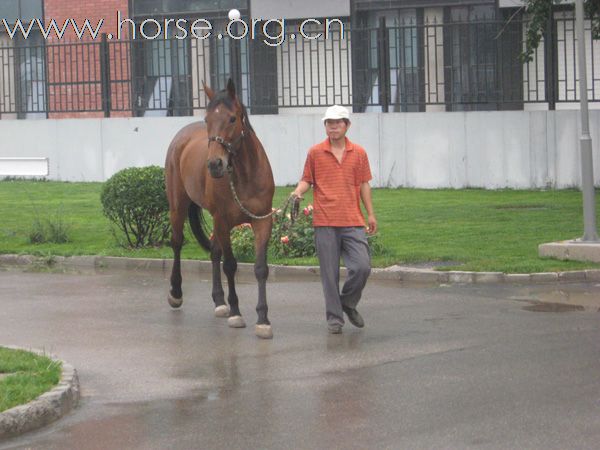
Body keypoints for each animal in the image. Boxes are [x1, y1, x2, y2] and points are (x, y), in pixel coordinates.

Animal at [165, 79, 276, 340]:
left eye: (233, 118)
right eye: (207, 119)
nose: (215, 164)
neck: (244, 176)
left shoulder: (262, 221)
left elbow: (260, 268)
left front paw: (263, 319)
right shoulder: (223, 221)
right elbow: (230, 265)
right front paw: (236, 312)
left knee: (214, 251)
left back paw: (219, 301)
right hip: (178, 206)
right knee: (177, 242)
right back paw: (176, 293)